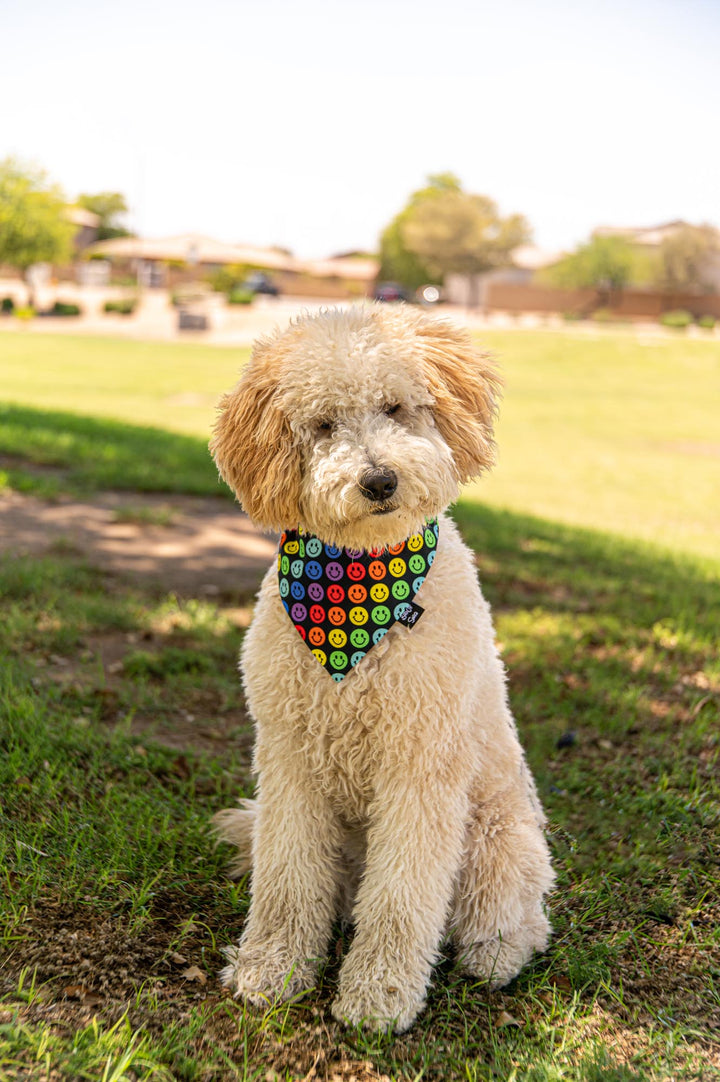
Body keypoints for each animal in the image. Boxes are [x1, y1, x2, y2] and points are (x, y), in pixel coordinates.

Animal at [211, 305, 552, 1030]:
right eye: (322, 425)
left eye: (396, 408)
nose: (379, 480)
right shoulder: (290, 760)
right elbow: (286, 879)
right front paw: (272, 969)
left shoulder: (420, 767)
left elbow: (402, 897)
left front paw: (379, 995)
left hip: (497, 836)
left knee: (516, 916)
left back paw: (496, 953)